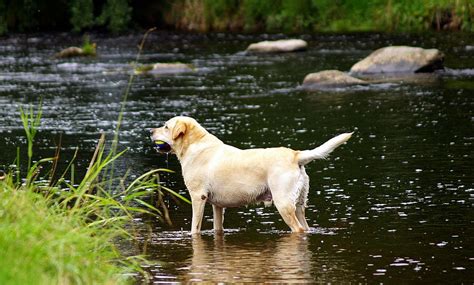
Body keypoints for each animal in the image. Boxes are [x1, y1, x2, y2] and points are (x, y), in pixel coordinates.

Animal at [151, 115, 352, 233]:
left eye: (166, 127)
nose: (150, 131)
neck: (195, 146)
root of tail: (295, 155)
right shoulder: (217, 205)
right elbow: (217, 228)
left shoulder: (198, 197)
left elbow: (195, 228)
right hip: (299, 205)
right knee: (306, 226)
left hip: (283, 204)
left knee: (298, 230)